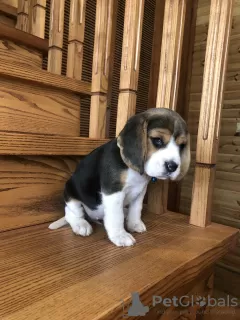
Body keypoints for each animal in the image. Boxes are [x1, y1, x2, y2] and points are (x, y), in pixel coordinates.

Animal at [49, 109, 191, 246]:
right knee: (72, 214)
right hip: (70, 192)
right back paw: (81, 224)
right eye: (157, 140)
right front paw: (120, 236)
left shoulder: (140, 192)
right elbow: (116, 216)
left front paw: (134, 224)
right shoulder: (114, 191)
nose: (172, 166)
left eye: (181, 145)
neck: (133, 171)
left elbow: (136, 209)